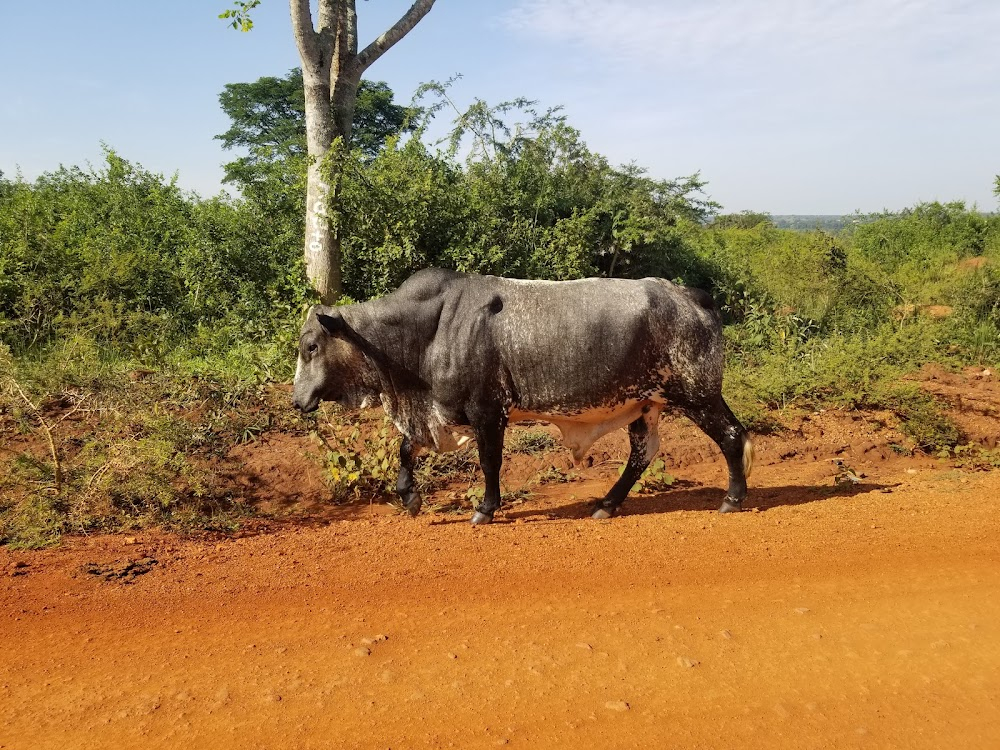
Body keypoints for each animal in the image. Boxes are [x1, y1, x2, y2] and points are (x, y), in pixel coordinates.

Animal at [292, 268, 752, 524]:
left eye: (311, 346)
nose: (297, 401)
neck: (427, 329)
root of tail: (692, 296)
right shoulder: (438, 412)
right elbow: (406, 449)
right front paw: (410, 497)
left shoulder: (487, 412)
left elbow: (489, 463)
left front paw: (484, 509)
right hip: (646, 404)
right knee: (643, 453)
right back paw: (607, 504)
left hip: (697, 393)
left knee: (732, 436)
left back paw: (732, 498)